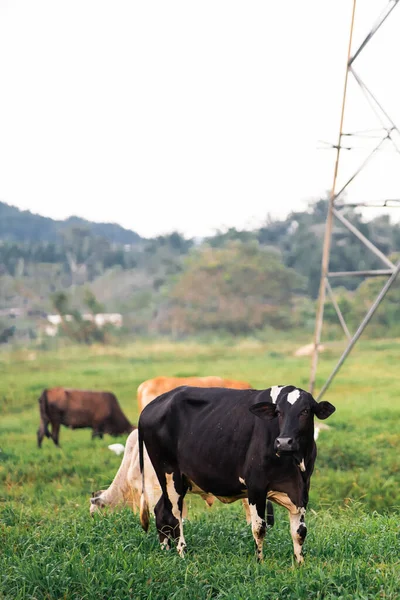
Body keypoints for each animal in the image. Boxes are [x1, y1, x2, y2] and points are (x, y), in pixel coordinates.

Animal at [138, 384, 334, 564]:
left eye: (305, 411)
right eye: (278, 412)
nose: (284, 442)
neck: (294, 463)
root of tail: (153, 405)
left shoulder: (302, 489)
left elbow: (300, 531)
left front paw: (300, 564)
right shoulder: (256, 486)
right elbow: (259, 528)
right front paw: (259, 562)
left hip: (180, 480)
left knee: (161, 511)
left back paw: (166, 552)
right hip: (169, 473)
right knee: (174, 515)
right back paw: (182, 553)